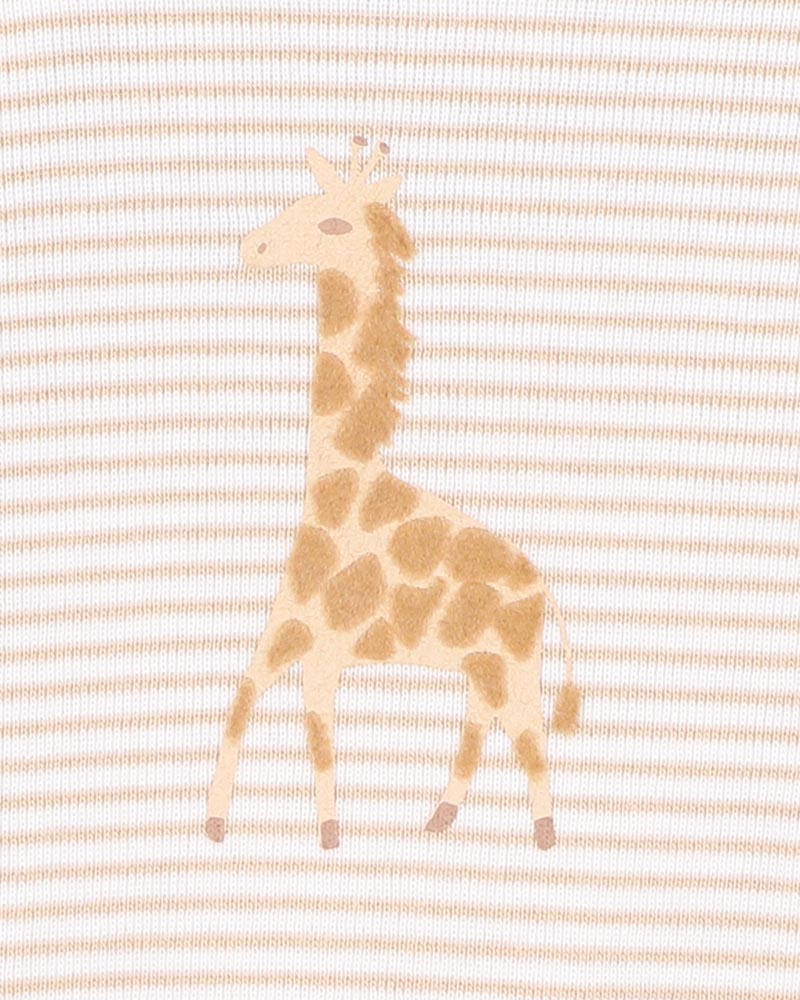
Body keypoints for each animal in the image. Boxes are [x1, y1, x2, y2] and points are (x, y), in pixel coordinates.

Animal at [205, 137, 580, 851]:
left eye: (331, 223)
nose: (251, 247)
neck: (339, 484)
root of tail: (545, 589)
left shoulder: (312, 641)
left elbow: (293, 724)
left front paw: (307, 831)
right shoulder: (299, 638)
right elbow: (259, 706)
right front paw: (245, 824)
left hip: (514, 662)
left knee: (530, 733)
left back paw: (546, 834)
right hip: (481, 665)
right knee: (483, 722)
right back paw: (440, 817)